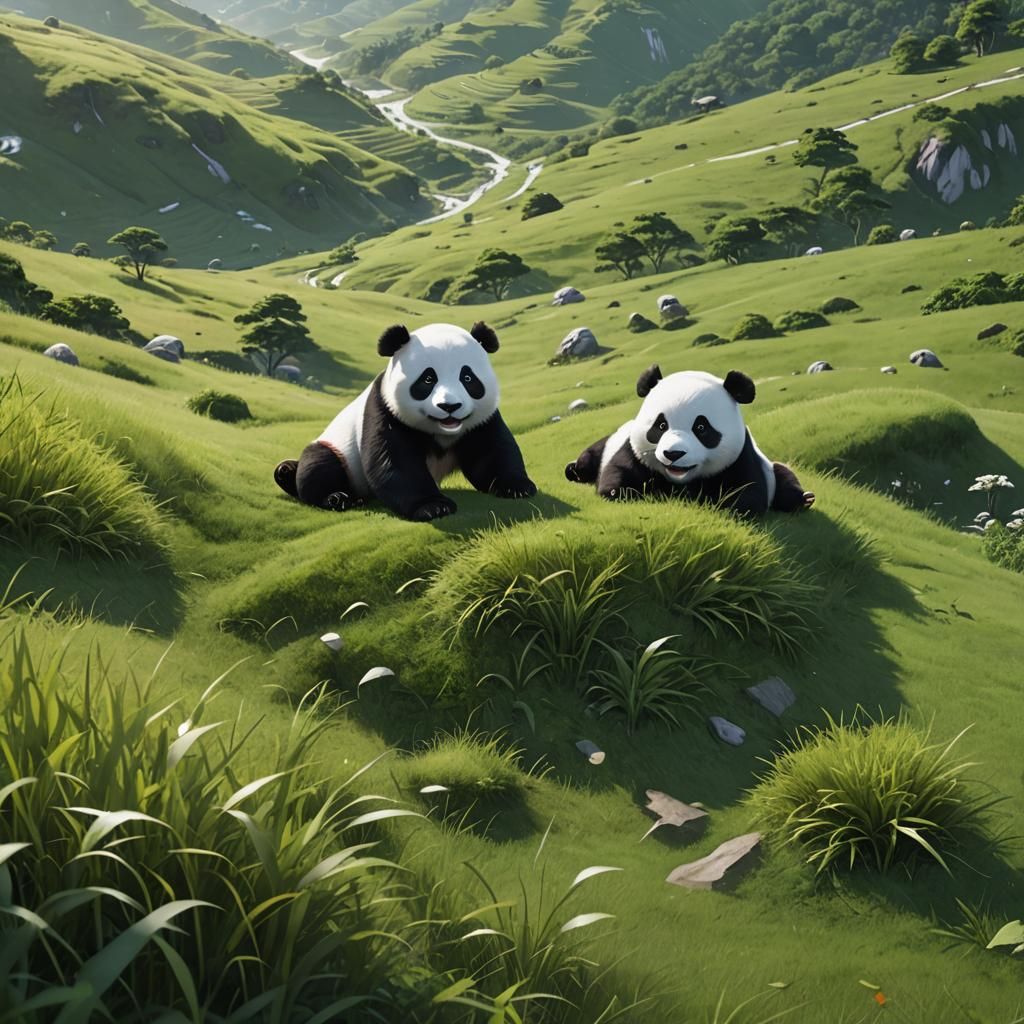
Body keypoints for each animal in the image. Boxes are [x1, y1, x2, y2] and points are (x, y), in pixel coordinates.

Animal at [274, 321, 536, 521]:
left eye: (468, 378)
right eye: (428, 379)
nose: (449, 407)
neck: (442, 430)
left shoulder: (479, 422)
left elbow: (492, 452)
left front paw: (517, 487)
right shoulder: (384, 409)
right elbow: (394, 461)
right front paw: (433, 506)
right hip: (337, 448)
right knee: (318, 467)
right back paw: (337, 497)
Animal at [564, 364, 814, 515]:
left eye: (701, 428)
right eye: (660, 425)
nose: (673, 454)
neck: (680, 480)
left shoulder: (740, 456)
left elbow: (747, 494)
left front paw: (715, 504)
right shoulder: (634, 452)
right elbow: (617, 477)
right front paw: (638, 493)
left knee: (784, 476)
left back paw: (805, 499)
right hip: (606, 444)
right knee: (590, 457)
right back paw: (574, 470)